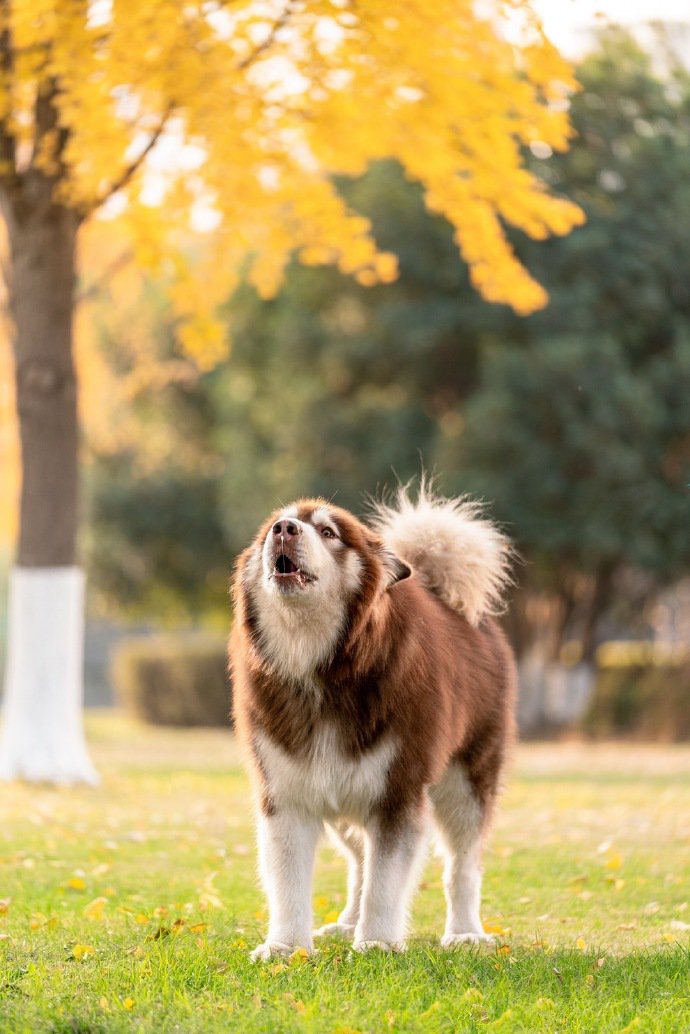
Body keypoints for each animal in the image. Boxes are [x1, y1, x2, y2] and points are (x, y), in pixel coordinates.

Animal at [229, 485, 515, 959]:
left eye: (328, 531)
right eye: (276, 524)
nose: (284, 529)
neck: (323, 669)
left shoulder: (397, 792)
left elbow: (386, 882)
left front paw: (378, 941)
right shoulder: (287, 794)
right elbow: (289, 883)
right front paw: (286, 947)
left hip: (465, 784)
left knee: (462, 866)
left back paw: (465, 932)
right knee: (360, 859)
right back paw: (347, 924)